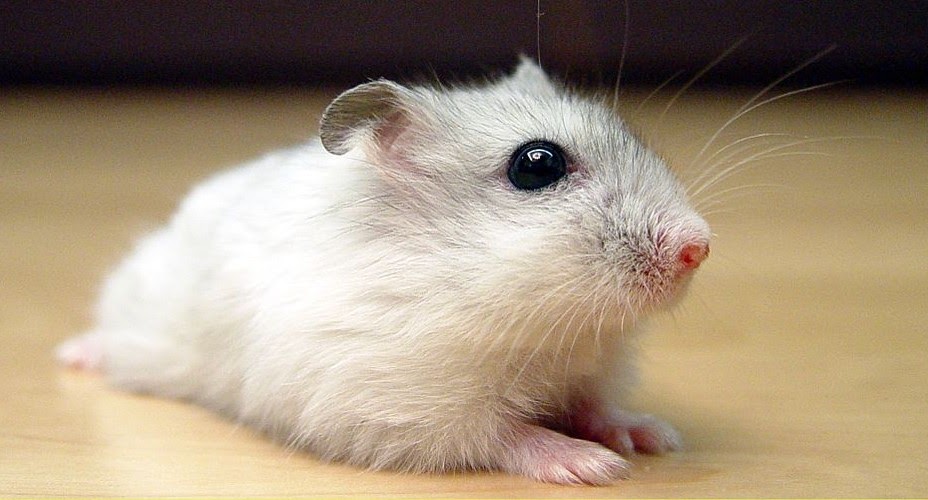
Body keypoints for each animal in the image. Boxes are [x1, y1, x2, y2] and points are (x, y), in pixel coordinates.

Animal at [57, 58, 710, 485]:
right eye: (536, 164)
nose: (699, 247)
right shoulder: (401, 405)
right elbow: (504, 434)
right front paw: (595, 466)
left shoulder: (591, 369)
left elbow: (595, 407)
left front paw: (652, 437)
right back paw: (75, 355)